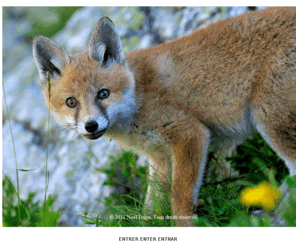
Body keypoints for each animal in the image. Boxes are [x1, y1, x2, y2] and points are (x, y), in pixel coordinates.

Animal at [33, 7, 296, 227]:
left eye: (103, 93)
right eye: (71, 102)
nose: (91, 125)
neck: (139, 97)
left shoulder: (190, 133)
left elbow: (179, 197)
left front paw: (187, 227)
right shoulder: (159, 158)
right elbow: (151, 209)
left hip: (270, 120)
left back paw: (279, 215)